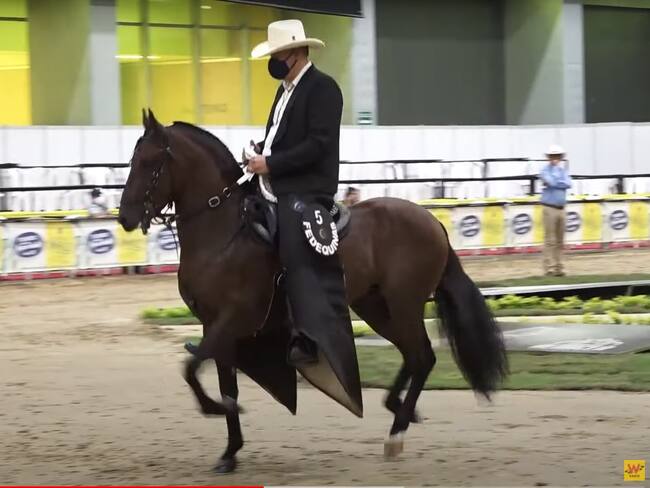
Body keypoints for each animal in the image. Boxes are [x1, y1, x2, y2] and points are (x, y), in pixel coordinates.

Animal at [118, 109, 508, 473]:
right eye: (133, 159)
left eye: (151, 162)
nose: (125, 217)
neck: (224, 232)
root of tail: (433, 222)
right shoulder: (214, 324)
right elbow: (222, 382)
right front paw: (229, 452)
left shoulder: (232, 319)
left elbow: (191, 368)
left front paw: (213, 410)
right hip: (374, 306)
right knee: (414, 356)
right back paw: (397, 410)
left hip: (404, 303)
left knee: (423, 356)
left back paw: (396, 432)